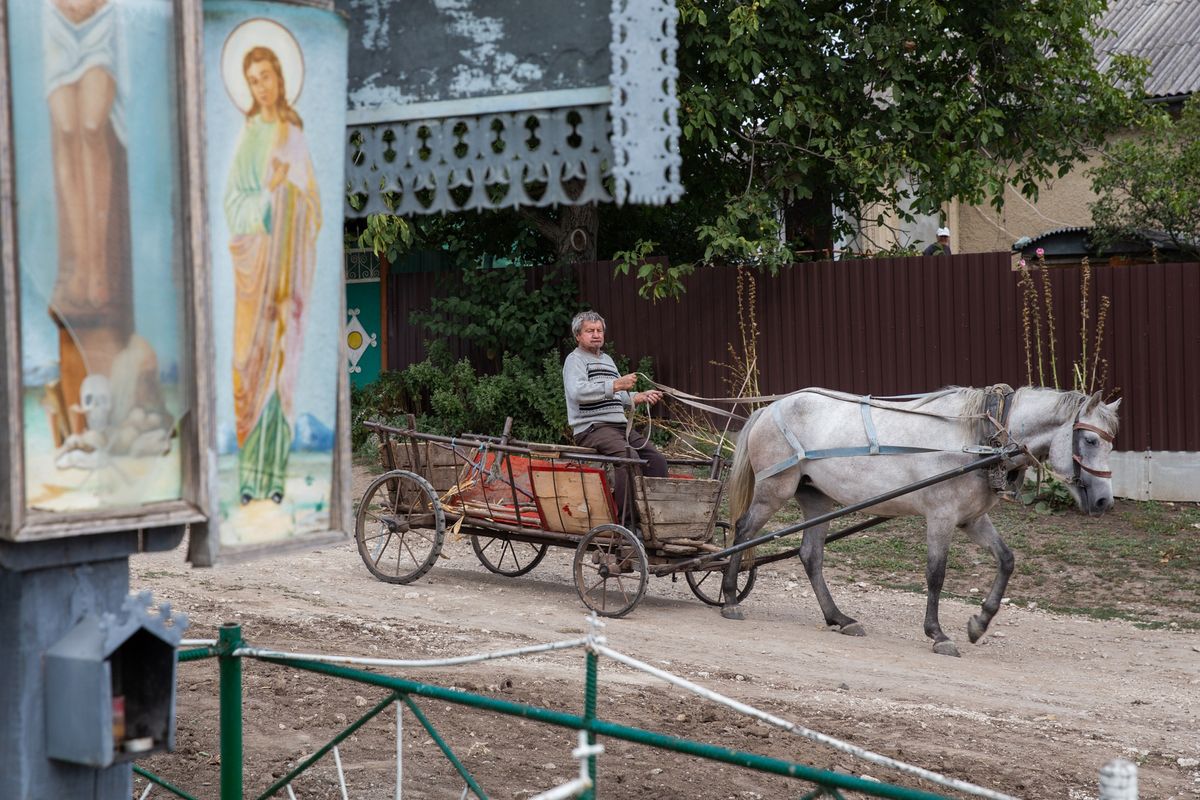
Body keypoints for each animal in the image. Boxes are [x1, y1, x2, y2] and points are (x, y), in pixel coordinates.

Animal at [715, 386, 1118, 657]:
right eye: (1088, 440)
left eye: (1110, 443)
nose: (1104, 501)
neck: (980, 441)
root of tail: (770, 408)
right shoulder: (941, 517)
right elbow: (936, 575)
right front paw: (938, 634)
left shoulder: (971, 519)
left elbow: (1006, 560)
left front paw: (979, 623)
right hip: (774, 489)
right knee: (743, 531)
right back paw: (731, 598)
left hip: (816, 498)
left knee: (811, 555)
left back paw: (840, 619)